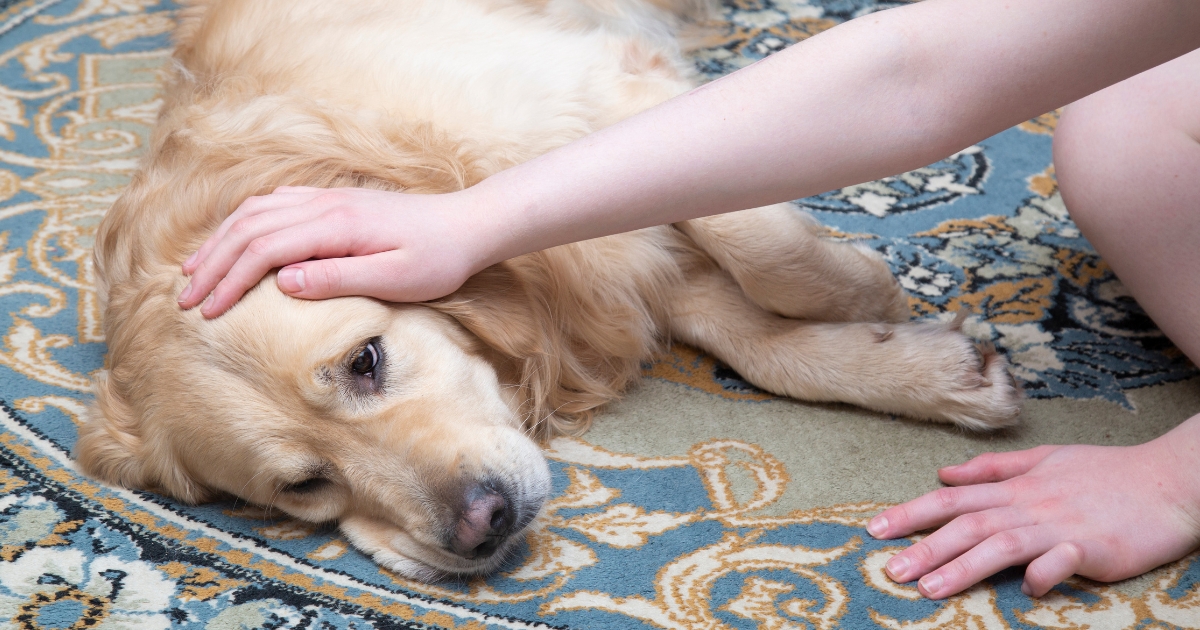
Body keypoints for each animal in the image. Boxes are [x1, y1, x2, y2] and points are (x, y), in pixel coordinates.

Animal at [75, 0, 1017, 580]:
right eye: (303, 486)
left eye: (366, 360)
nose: (481, 524)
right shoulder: (606, 268)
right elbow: (748, 334)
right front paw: (926, 369)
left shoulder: (608, 91)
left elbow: (755, 239)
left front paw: (863, 290)